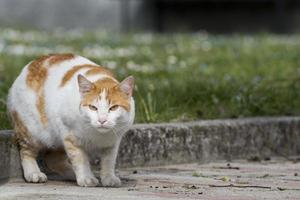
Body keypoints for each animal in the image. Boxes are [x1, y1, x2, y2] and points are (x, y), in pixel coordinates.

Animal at [6, 53, 135, 188]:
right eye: (93, 107)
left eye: (114, 108)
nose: (102, 120)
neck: (98, 135)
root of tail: (26, 68)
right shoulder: (70, 136)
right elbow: (80, 159)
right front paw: (86, 178)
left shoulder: (113, 142)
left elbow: (109, 161)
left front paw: (109, 178)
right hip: (31, 131)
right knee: (26, 151)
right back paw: (34, 173)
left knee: (53, 159)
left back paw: (72, 174)